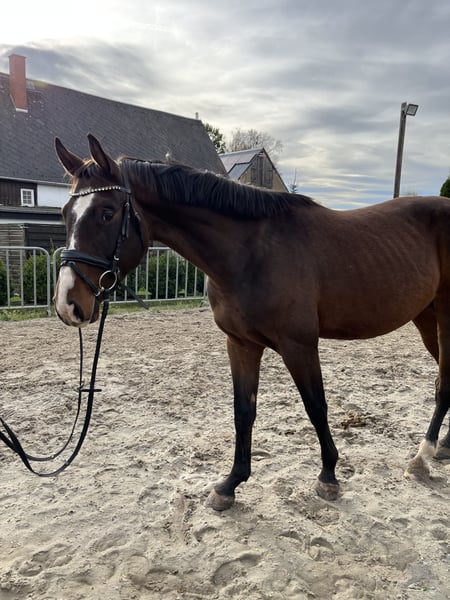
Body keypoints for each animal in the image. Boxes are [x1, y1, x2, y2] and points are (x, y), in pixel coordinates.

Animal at [53, 134, 450, 511]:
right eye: (64, 213)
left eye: (106, 213)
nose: (67, 304)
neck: (252, 253)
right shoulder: (241, 343)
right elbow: (243, 411)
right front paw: (230, 485)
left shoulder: (299, 345)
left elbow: (316, 407)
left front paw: (328, 476)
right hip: (425, 318)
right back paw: (442, 446)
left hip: (444, 317)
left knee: (443, 383)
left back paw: (422, 457)